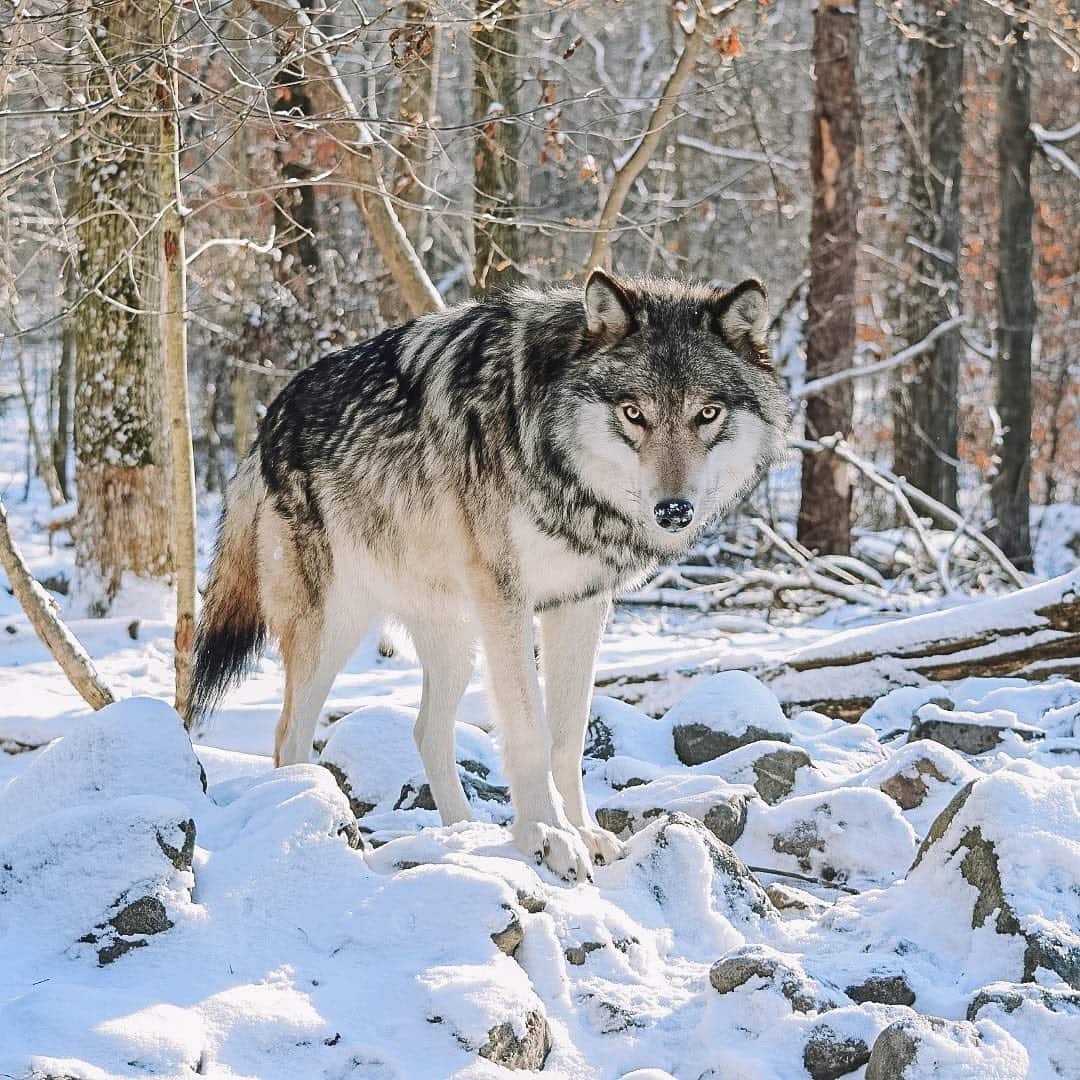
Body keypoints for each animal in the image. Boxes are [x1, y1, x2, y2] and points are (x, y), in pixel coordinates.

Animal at [186, 270, 790, 881]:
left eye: (707, 414)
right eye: (633, 413)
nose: (674, 511)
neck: (556, 459)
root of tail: (269, 419)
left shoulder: (582, 605)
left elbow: (568, 737)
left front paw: (584, 832)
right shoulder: (508, 601)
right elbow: (529, 732)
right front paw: (548, 836)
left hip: (456, 641)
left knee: (426, 732)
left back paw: (464, 835)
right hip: (334, 629)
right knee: (289, 737)